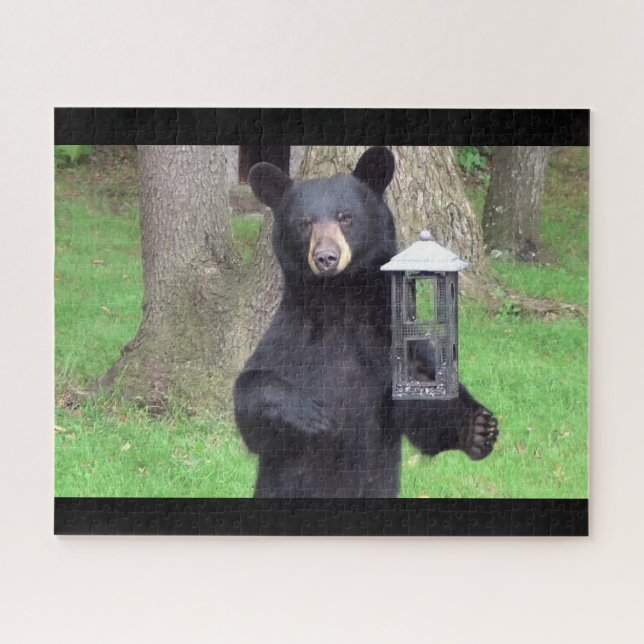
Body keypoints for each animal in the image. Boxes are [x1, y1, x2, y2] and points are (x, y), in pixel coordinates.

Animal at [233, 147, 499, 498]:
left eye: (345, 217)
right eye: (304, 222)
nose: (326, 257)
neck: (341, 301)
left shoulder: (390, 337)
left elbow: (424, 406)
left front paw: (478, 427)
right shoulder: (290, 336)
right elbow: (251, 397)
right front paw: (310, 415)